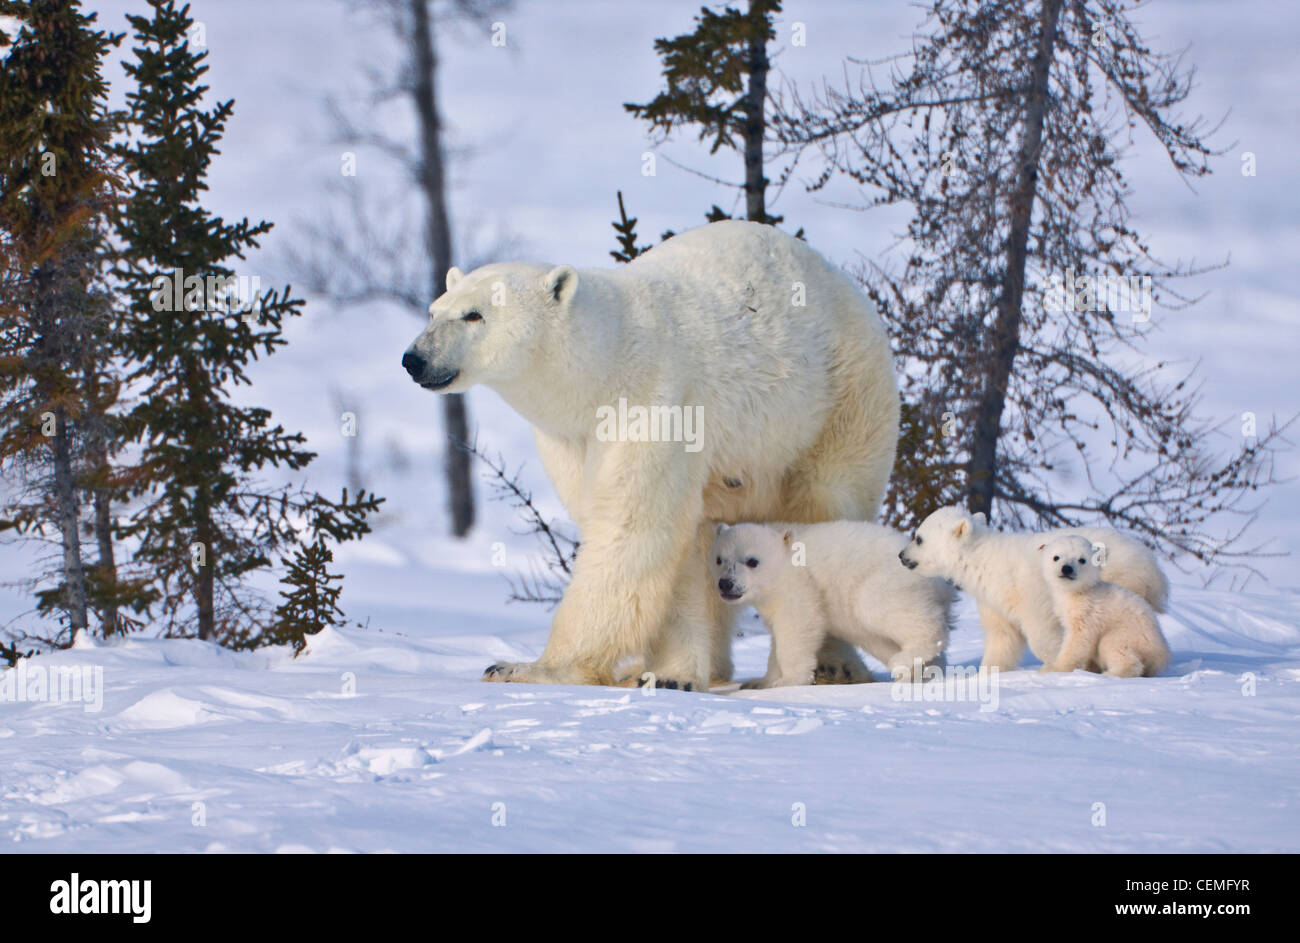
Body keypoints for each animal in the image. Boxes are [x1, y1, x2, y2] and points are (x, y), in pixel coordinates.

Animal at [400, 223, 899, 686]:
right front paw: (667, 674)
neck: (605, 365)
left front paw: (526, 667)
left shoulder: (655, 403)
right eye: (434, 310)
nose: (414, 358)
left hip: (839, 400)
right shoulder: (572, 439)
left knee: (824, 505)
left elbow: (634, 528)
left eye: (474, 315)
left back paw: (834, 664)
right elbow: (659, 540)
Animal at [707, 522, 951, 686]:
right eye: (719, 559)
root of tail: (940, 583)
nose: (726, 583)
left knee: (881, 608)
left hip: (885, 582)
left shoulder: (800, 585)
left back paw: (905, 659)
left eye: (752, 561)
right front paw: (760, 682)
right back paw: (920, 672)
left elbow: (797, 627)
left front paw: (789, 680)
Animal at [1040, 533, 1175, 671]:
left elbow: (1078, 639)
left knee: (1115, 648)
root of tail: (1162, 653)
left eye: (1082, 560)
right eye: (1056, 557)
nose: (1066, 569)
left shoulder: (1087, 611)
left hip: (1129, 634)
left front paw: (1054, 668)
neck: (1080, 592)